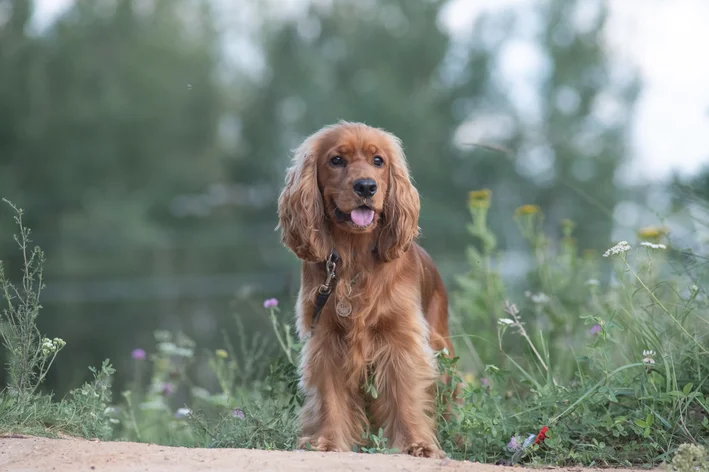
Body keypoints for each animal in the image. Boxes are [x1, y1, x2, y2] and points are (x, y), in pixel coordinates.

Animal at [276, 121, 454, 458]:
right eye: (336, 160)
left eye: (378, 161)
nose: (366, 187)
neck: (354, 258)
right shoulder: (326, 338)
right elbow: (330, 397)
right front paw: (327, 443)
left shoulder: (401, 339)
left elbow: (404, 393)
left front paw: (416, 444)